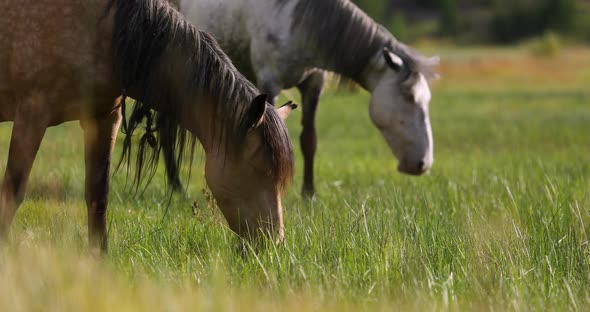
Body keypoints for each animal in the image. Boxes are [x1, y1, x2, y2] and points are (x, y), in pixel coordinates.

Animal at [0, 0, 296, 252]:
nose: (274, 243)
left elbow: (98, 196)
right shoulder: (33, 115)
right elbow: (13, 191)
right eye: (258, 168)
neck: (102, 28)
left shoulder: (103, 119)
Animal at [178, 0, 442, 196]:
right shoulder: (270, 82)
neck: (295, 19)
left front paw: (309, 193)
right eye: (409, 97)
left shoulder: (314, 84)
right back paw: (177, 187)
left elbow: (309, 140)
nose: (424, 163)